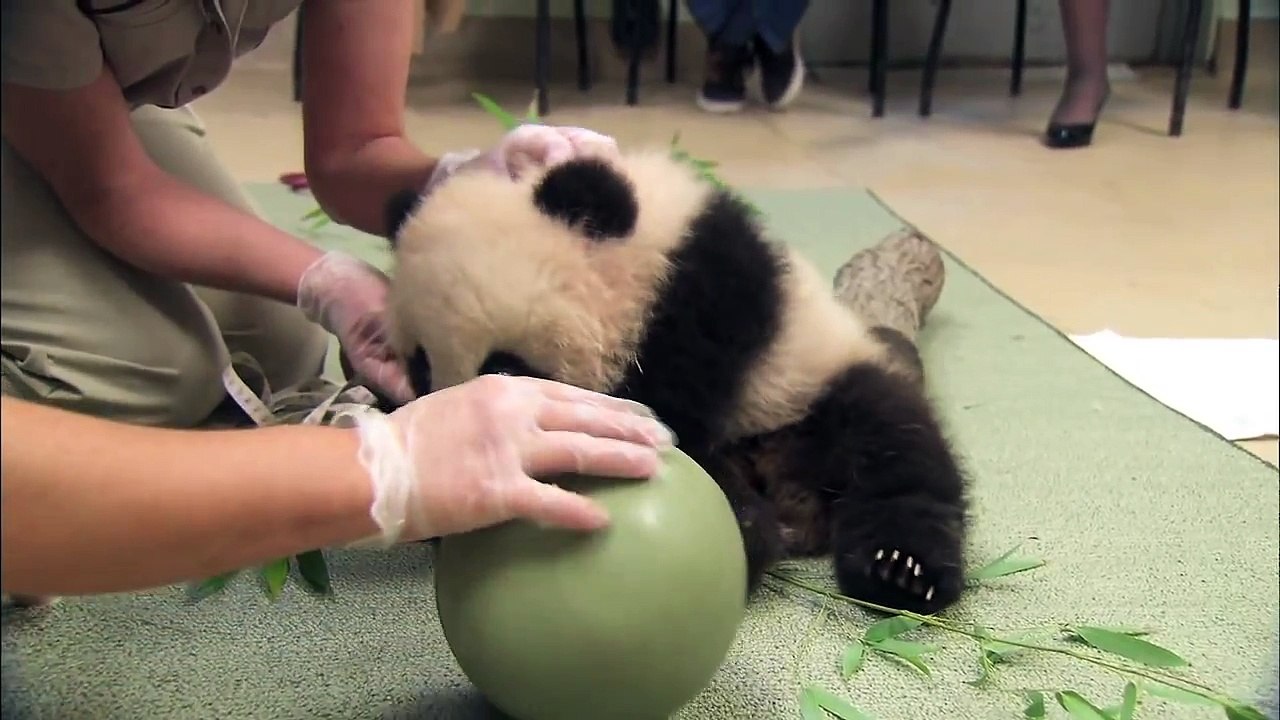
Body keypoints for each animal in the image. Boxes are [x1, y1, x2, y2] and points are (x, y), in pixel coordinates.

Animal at [368, 148, 970, 616]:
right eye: (421, 365)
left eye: (507, 367)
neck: (642, 263)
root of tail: (801, 504)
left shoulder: (705, 305)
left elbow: (676, 425)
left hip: (815, 384)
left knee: (897, 449)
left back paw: (898, 569)